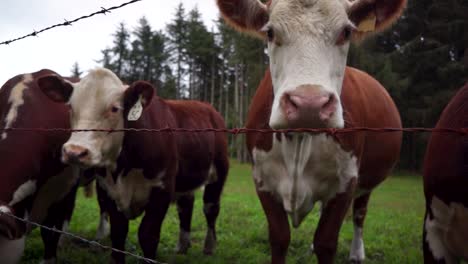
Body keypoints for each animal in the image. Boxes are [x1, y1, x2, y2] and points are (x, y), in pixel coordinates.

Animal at [38, 68, 230, 264]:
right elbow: (118, 234)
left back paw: (209, 247)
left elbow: (148, 235)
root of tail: (208, 108)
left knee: (211, 208)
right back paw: (182, 246)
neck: (125, 167)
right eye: (70, 106)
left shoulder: (162, 189)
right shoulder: (109, 190)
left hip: (219, 172)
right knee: (185, 206)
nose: (74, 152)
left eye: (115, 108)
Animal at [218, 0, 404, 262]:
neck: (299, 140)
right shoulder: (262, 180)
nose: (309, 104)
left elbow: (326, 241)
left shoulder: (347, 182)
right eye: (270, 32)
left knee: (360, 212)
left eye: (346, 32)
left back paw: (357, 252)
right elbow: (280, 237)